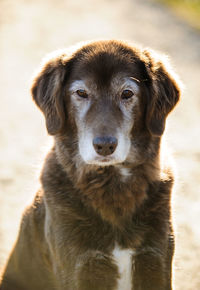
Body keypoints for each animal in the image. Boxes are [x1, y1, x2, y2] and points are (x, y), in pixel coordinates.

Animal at [0, 40, 180, 290]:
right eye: (81, 93)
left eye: (127, 93)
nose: (104, 146)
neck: (111, 186)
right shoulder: (79, 268)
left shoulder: (157, 261)